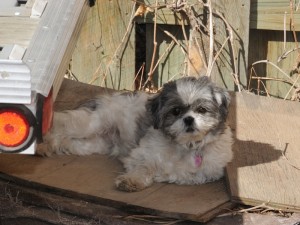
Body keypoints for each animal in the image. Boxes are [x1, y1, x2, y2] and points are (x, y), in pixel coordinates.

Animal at [37, 77, 233, 192]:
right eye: (176, 111)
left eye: (202, 110)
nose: (189, 119)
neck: (187, 147)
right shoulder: (140, 155)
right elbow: (144, 167)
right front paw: (132, 180)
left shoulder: (206, 173)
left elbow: (180, 174)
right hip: (87, 124)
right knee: (60, 125)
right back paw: (41, 145)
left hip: (94, 144)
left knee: (67, 141)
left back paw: (51, 146)